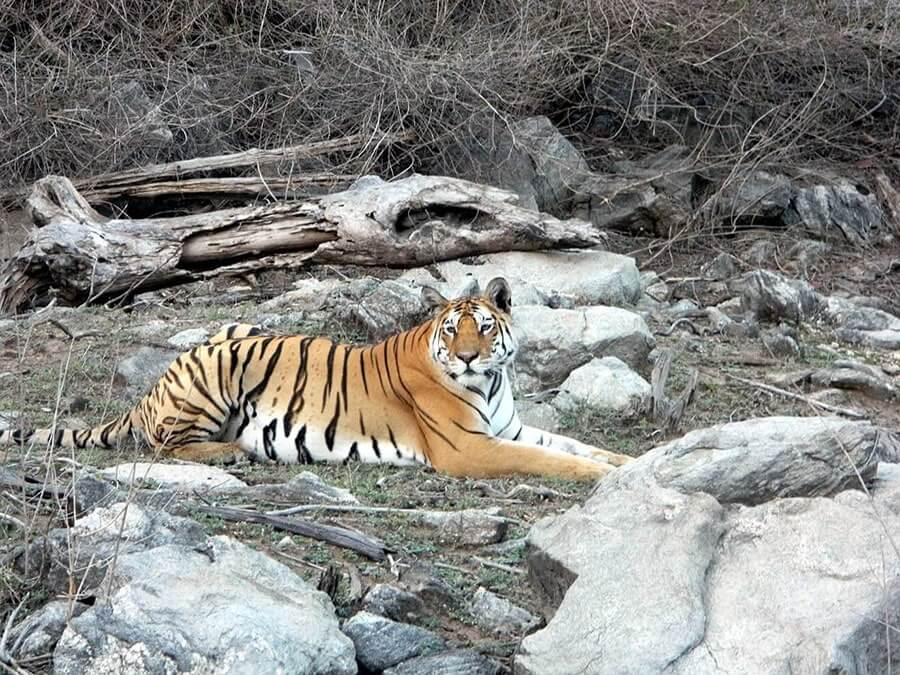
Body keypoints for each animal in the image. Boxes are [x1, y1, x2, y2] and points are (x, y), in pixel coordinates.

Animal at [0, 277, 631, 481]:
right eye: (453, 332)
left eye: (483, 328)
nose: (470, 358)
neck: (492, 384)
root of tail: (152, 389)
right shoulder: (470, 450)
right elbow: (556, 459)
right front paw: (600, 476)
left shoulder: (509, 429)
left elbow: (578, 444)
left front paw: (632, 462)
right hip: (218, 367)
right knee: (163, 444)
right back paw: (230, 451)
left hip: (237, 330)